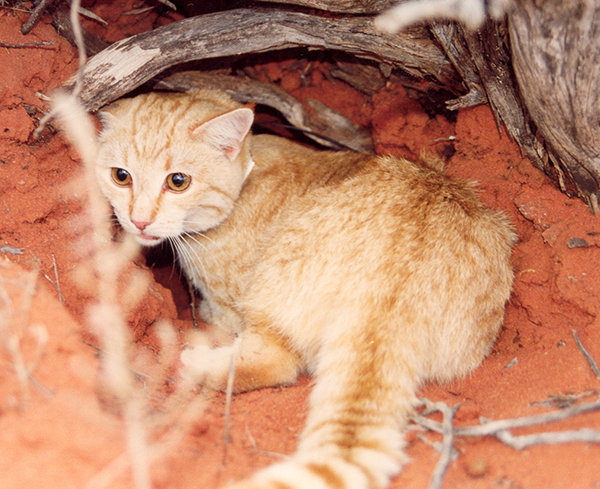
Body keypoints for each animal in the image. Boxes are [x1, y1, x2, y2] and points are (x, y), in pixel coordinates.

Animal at [97, 88, 516, 488]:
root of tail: (391, 298)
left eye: (178, 182)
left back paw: (197, 362)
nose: (139, 221)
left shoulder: (227, 308)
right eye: (121, 176)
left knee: (276, 363)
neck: (248, 174)